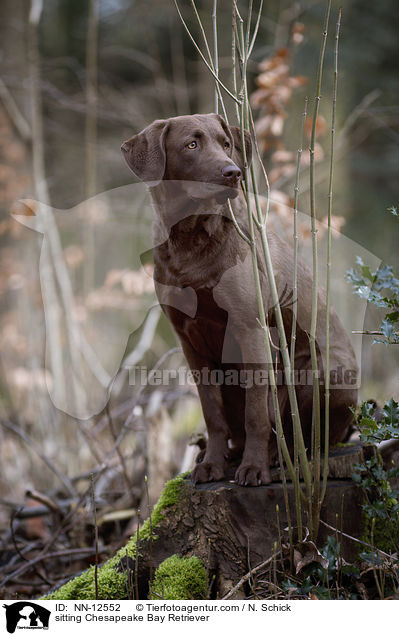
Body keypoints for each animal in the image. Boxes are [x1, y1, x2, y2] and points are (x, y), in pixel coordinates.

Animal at [122, 114, 360, 484]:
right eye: (191, 145)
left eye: (226, 143)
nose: (232, 172)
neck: (190, 242)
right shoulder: (190, 342)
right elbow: (212, 412)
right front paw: (212, 465)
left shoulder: (251, 330)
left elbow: (257, 413)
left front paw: (254, 467)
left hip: (321, 371)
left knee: (306, 437)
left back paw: (276, 456)